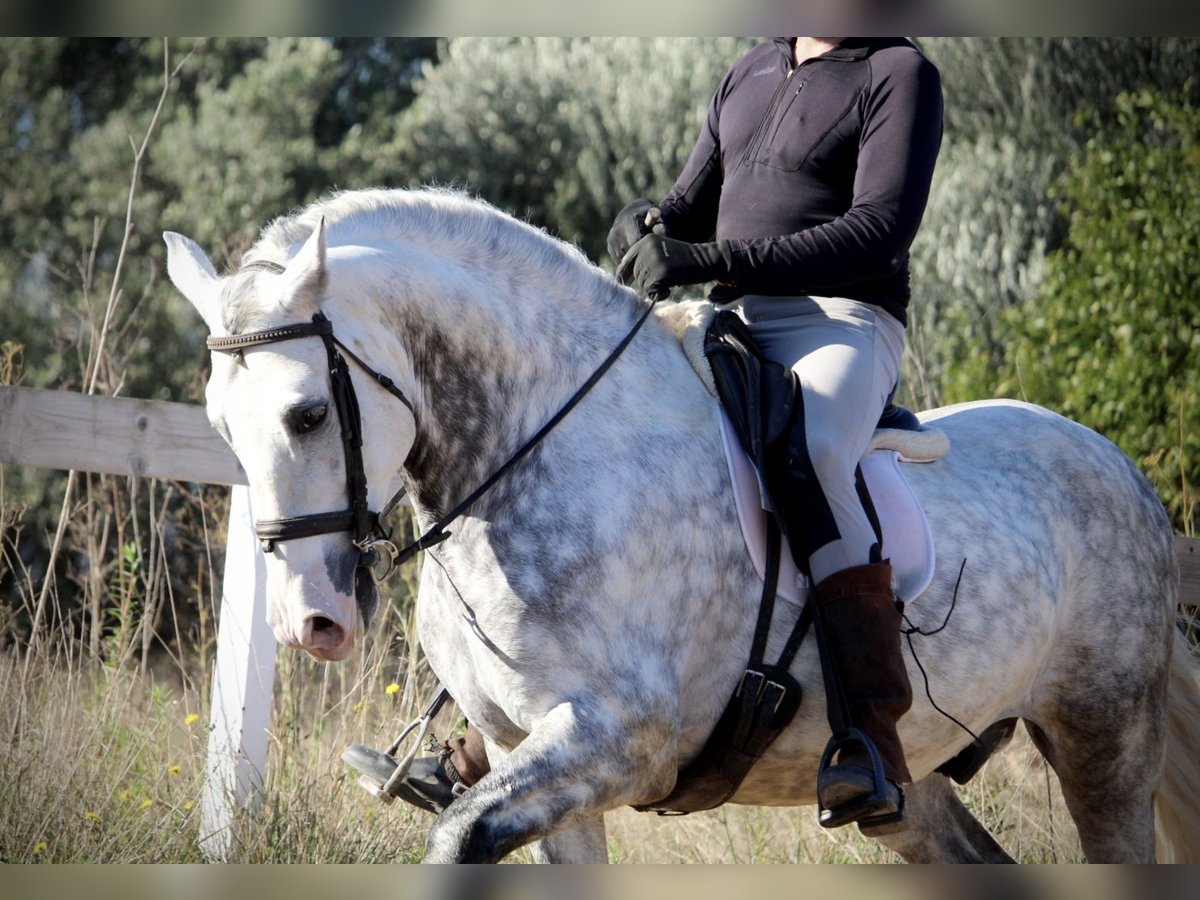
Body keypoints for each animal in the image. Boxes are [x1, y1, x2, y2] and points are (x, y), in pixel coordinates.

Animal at [166, 190, 1200, 868]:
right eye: (219, 423)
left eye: (307, 414)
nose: (310, 622)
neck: (544, 445)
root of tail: (1125, 475)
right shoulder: (531, 758)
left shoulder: (623, 742)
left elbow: (457, 835)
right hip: (921, 789)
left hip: (1103, 738)